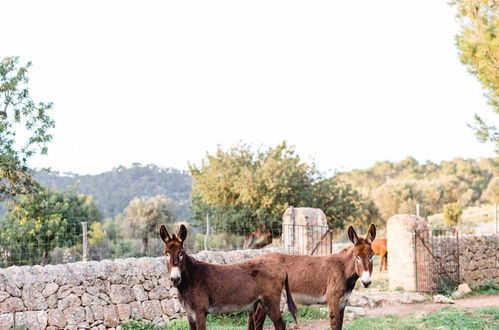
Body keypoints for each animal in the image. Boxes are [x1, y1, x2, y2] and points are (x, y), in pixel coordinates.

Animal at [160, 223, 296, 328]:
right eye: (166, 253)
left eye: (181, 253)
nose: (175, 279)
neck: (190, 280)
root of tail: (281, 266)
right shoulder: (190, 314)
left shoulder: (200, 312)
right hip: (260, 302)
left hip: (270, 301)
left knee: (280, 324)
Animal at [248, 223, 376, 328]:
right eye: (357, 257)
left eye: (371, 256)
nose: (366, 282)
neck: (342, 269)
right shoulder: (333, 301)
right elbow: (335, 325)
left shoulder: (342, 303)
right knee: (258, 319)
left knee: (252, 317)